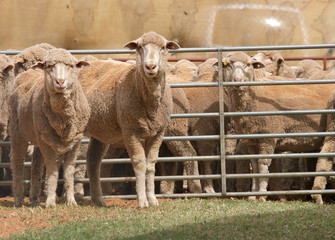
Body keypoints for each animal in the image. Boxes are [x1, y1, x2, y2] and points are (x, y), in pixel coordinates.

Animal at [9, 48, 90, 206]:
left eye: (71, 66)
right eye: (49, 66)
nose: (60, 82)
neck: (63, 119)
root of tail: (27, 73)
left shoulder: (75, 141)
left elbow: (68, 171)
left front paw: (71, 201)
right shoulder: (47, 143)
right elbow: (52, 171)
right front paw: (51, 201)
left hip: (39, 136)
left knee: (36, 165)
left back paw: (34, 199)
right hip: (19, 133)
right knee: (17, 162)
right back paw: (18, 199)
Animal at [79, 31, 181, 208]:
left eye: (163, 47)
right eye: (139, 47)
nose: (150, 67)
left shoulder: (158, 132)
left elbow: (151, 164)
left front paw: (152, 199)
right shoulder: (130, 131)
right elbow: (140, 163)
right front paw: (142, 201)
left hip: (100, 132)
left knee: (93, 161)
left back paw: (99, 200)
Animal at [223, 51, 334, 202]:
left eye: (248, 65)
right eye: (228, 65)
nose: (237, 81)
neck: (254, 95)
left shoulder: (268, 137)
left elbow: (262, 167)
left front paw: (262, 195)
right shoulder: (251, 141)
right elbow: (255, 166)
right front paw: (252, 195)